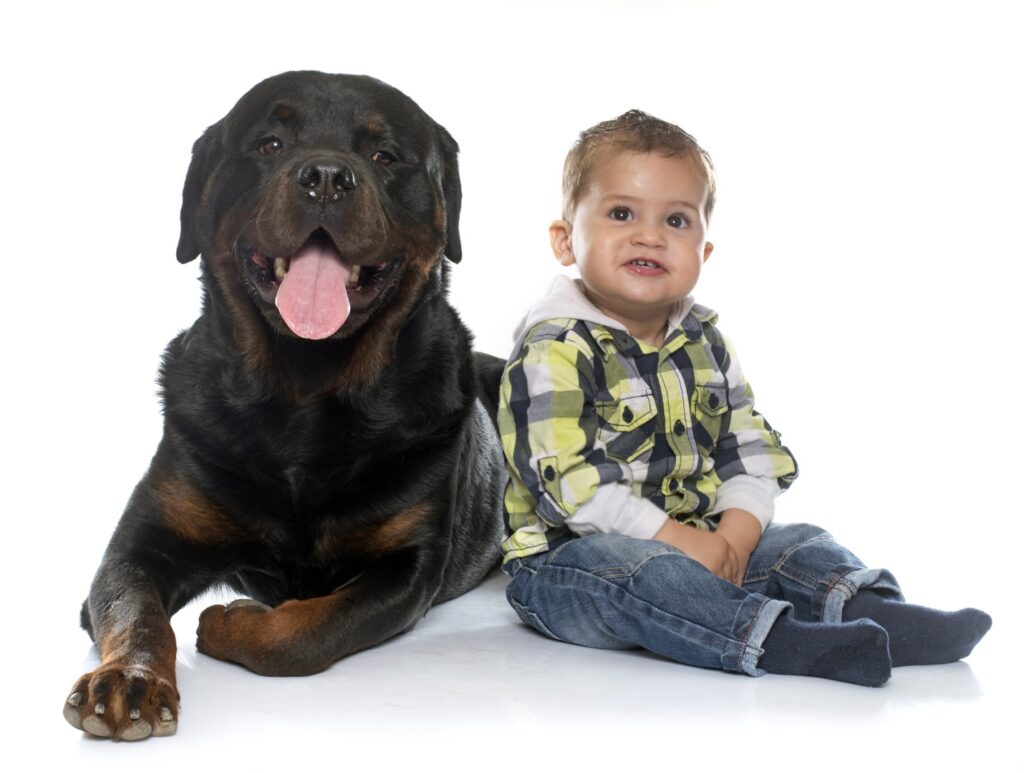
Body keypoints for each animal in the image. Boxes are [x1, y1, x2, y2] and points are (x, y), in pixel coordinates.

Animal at [60, 74, 507, 745]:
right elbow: (133, 607)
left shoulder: (409, 566)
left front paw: (229, 622)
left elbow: (304, 632)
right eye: (269, 144)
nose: (325, 175)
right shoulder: (144, 543)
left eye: (384, 155)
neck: (303, 396)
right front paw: (130, 679)